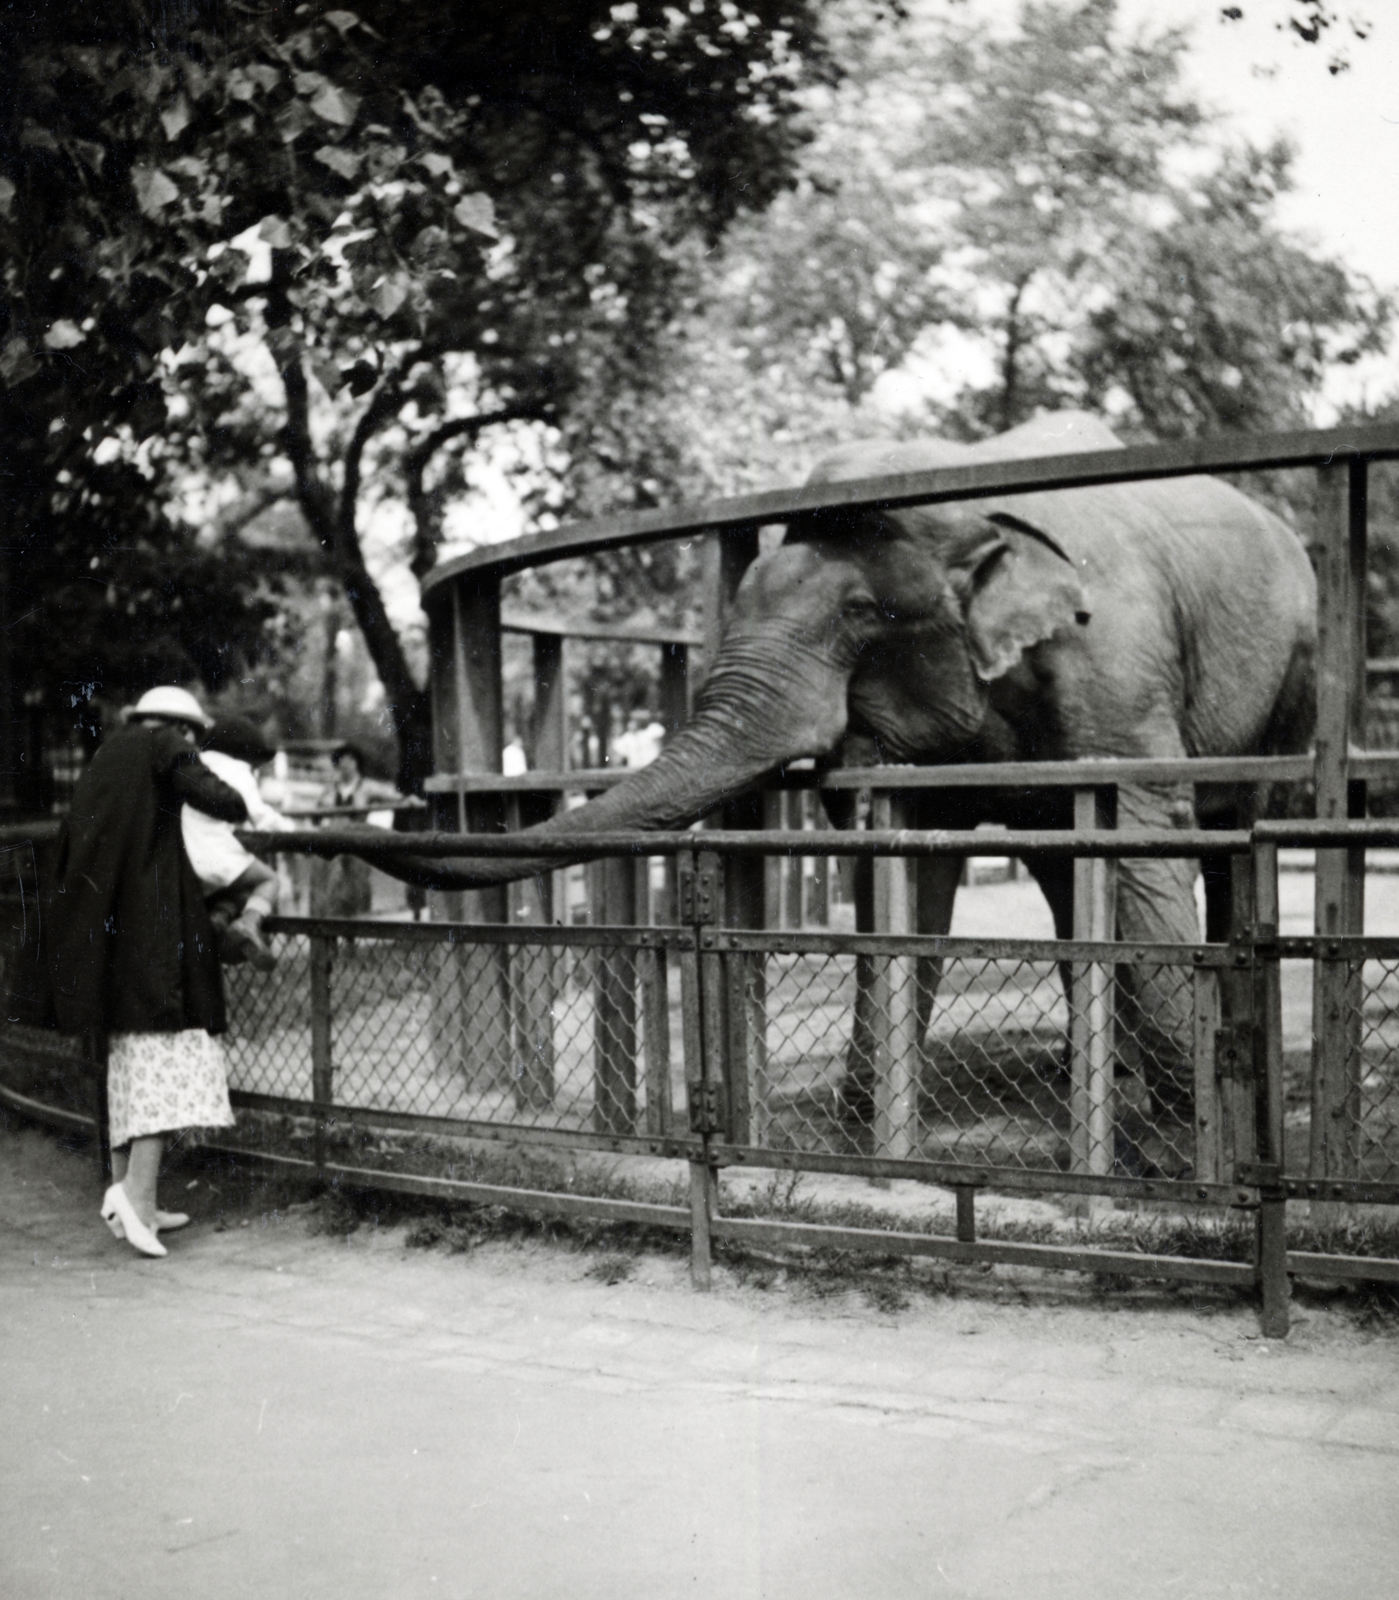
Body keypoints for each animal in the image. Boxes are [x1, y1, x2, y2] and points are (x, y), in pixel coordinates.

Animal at [353, 412, 1312, 1132]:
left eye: (859, 614)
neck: (966, 495)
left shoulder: (1113, 655)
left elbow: (1142, 831)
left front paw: (1187, 1133)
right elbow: (908, 867)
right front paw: (868, 1123)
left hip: (1294, 673)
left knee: (1228, 826)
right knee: (1059, 871)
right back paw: (1096, 1077)